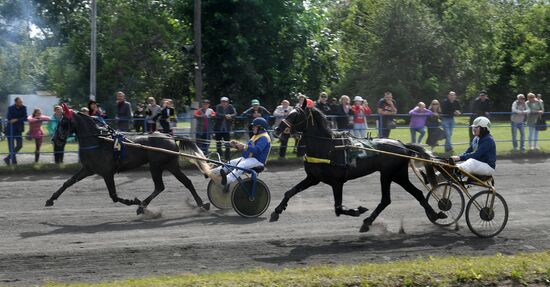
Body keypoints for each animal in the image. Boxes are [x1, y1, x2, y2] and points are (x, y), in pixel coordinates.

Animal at [47, 104, 213, 215]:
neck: (99, 141)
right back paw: (202, 204)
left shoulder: (107, 173)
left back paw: (142, 205)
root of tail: (169, 136)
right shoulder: (88, 169)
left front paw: (133, 201)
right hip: (170, 165)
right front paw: (51, 199)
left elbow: (113, 196)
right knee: (186, 182)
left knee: (160, 186)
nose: (54, 139)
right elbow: (68, 182)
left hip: (156, 166)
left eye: (63, 122)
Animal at [272, 102, 448, 233]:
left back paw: (367, 221)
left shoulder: (337, 182)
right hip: (398, 175)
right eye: (287, 112)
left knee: (386, 199)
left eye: (295, 115)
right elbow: (290, 192)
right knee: (416, 193)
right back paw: (435, 215)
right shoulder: (313, 178)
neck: (327, 147)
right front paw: (276, 211)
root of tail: (402, 145)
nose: (277, 130)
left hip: (387, 174)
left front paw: (358, 210)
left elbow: (338, 208)